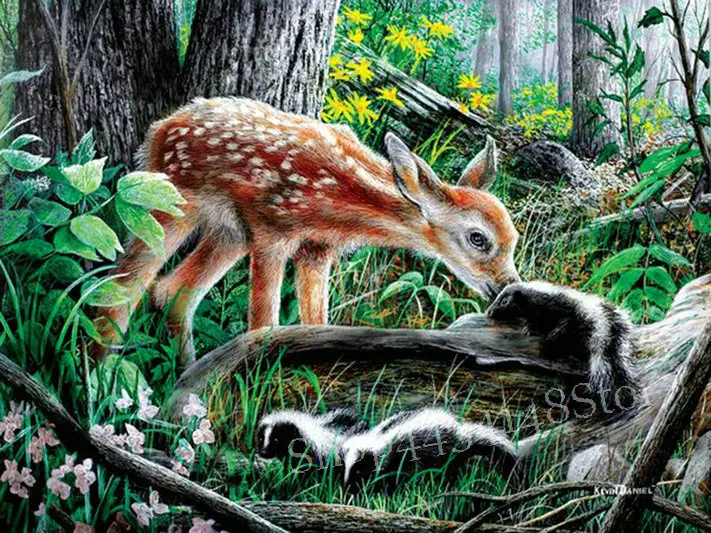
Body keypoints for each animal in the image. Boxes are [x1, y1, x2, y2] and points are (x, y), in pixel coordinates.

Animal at [94, 97, 520, 366]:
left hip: (230, 232)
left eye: (514, 240)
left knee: (173, 292)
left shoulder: (317, 248)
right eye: (478, 238)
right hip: (170, 204)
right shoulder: (271, 229)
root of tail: (157, 130)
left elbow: (315, 327)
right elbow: (263, 327)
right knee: (120, 290)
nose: (509, 287)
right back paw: (101, 383)